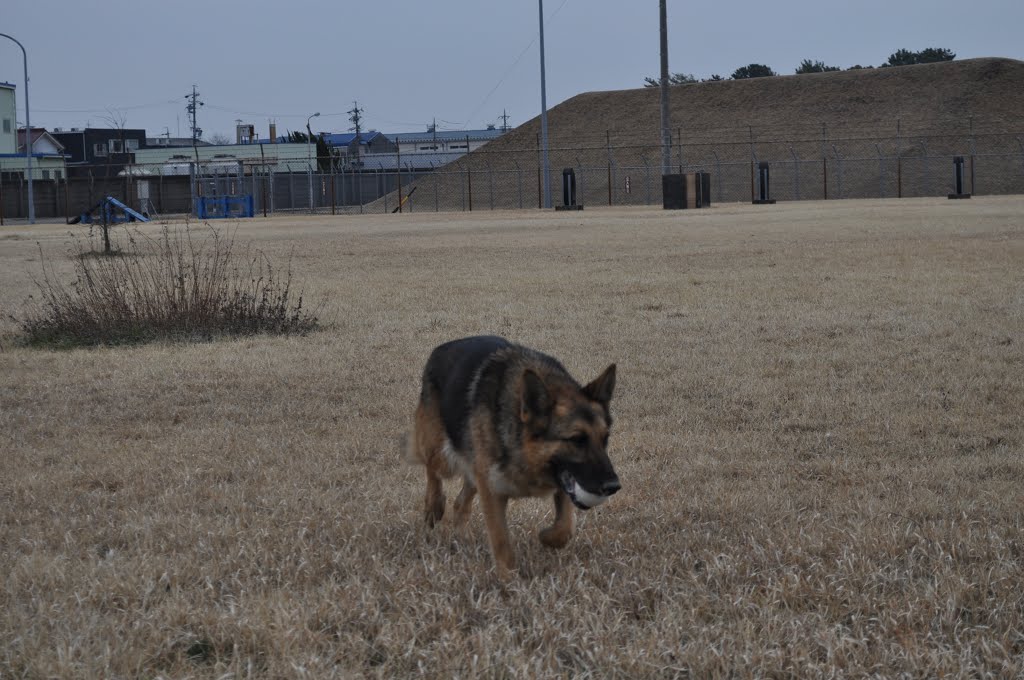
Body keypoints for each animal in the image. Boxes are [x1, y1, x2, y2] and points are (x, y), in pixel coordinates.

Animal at [405, 333, 614, 573]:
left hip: (474, 466)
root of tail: (441, 348)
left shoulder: (562, 481)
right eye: (576, 440)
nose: (614, 486)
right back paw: (434, 506)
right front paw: (508, 579)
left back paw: (463, 536)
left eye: (605, 439)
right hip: (444, 455)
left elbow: (566, 527)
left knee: (459, 503)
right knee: (432, 469)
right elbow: (501, 541)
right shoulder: (492, 490)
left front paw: (547, 538)